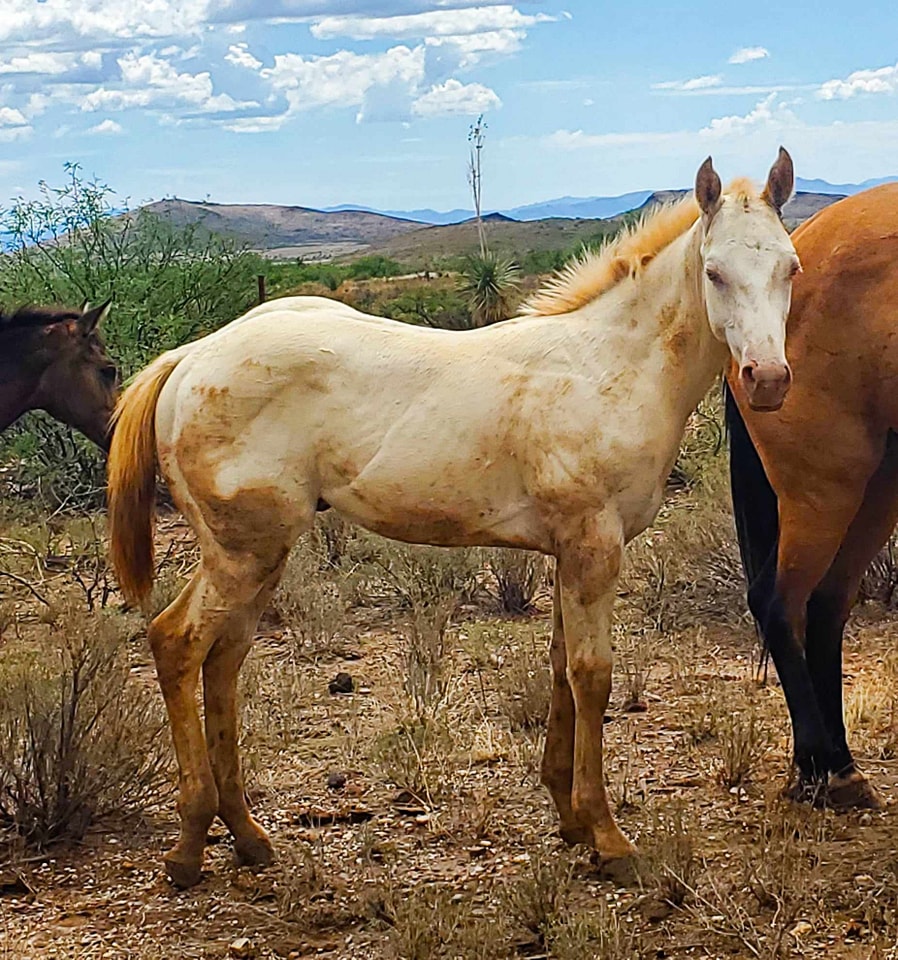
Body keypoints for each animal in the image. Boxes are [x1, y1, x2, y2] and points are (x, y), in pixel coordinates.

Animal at [107, 150, 799, 888]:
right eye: (714, 271)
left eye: (789, 267)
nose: (766, 380)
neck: (607, 369)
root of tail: (189, 358)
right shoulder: (594, 547)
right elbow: (592, 676)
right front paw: (609, 838)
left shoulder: (568, 551)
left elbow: (560, 668)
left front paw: (570, 819)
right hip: (241, 553)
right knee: (177, 642)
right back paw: (188, 846)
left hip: (256, 555)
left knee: (223, 662)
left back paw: (247, 835)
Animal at [725, 182, 898, 810]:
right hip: (823, 490)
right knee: (777, 600)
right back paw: (827, 765)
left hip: (876, 486)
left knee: (824, 604)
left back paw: (834, 763)